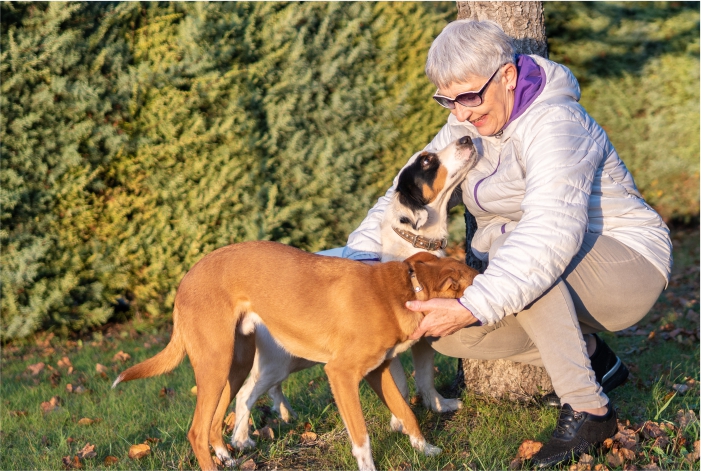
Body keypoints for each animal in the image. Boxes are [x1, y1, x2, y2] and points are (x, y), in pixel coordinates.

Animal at [113, 242, 476, 470]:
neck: (397, 293)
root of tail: (186, 279)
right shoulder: (341, 374)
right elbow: (361, 436)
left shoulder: (379, 370)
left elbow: (407, 412)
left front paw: (426, 449)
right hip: (216, 364)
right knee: (197, 431)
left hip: (235, 363)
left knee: (218, 420)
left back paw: (228, 457)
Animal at [232, 136, 478, 450]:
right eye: (426, 160)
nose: (466, 138)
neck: (411, 244)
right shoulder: (387, 353)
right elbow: (400, 386)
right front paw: (399, 422)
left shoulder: (422, 338)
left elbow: (424, 377)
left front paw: (437, 405)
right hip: (282, 359)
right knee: (247, 392)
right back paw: (241, 438)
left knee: (265, 389)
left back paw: (281, 417)